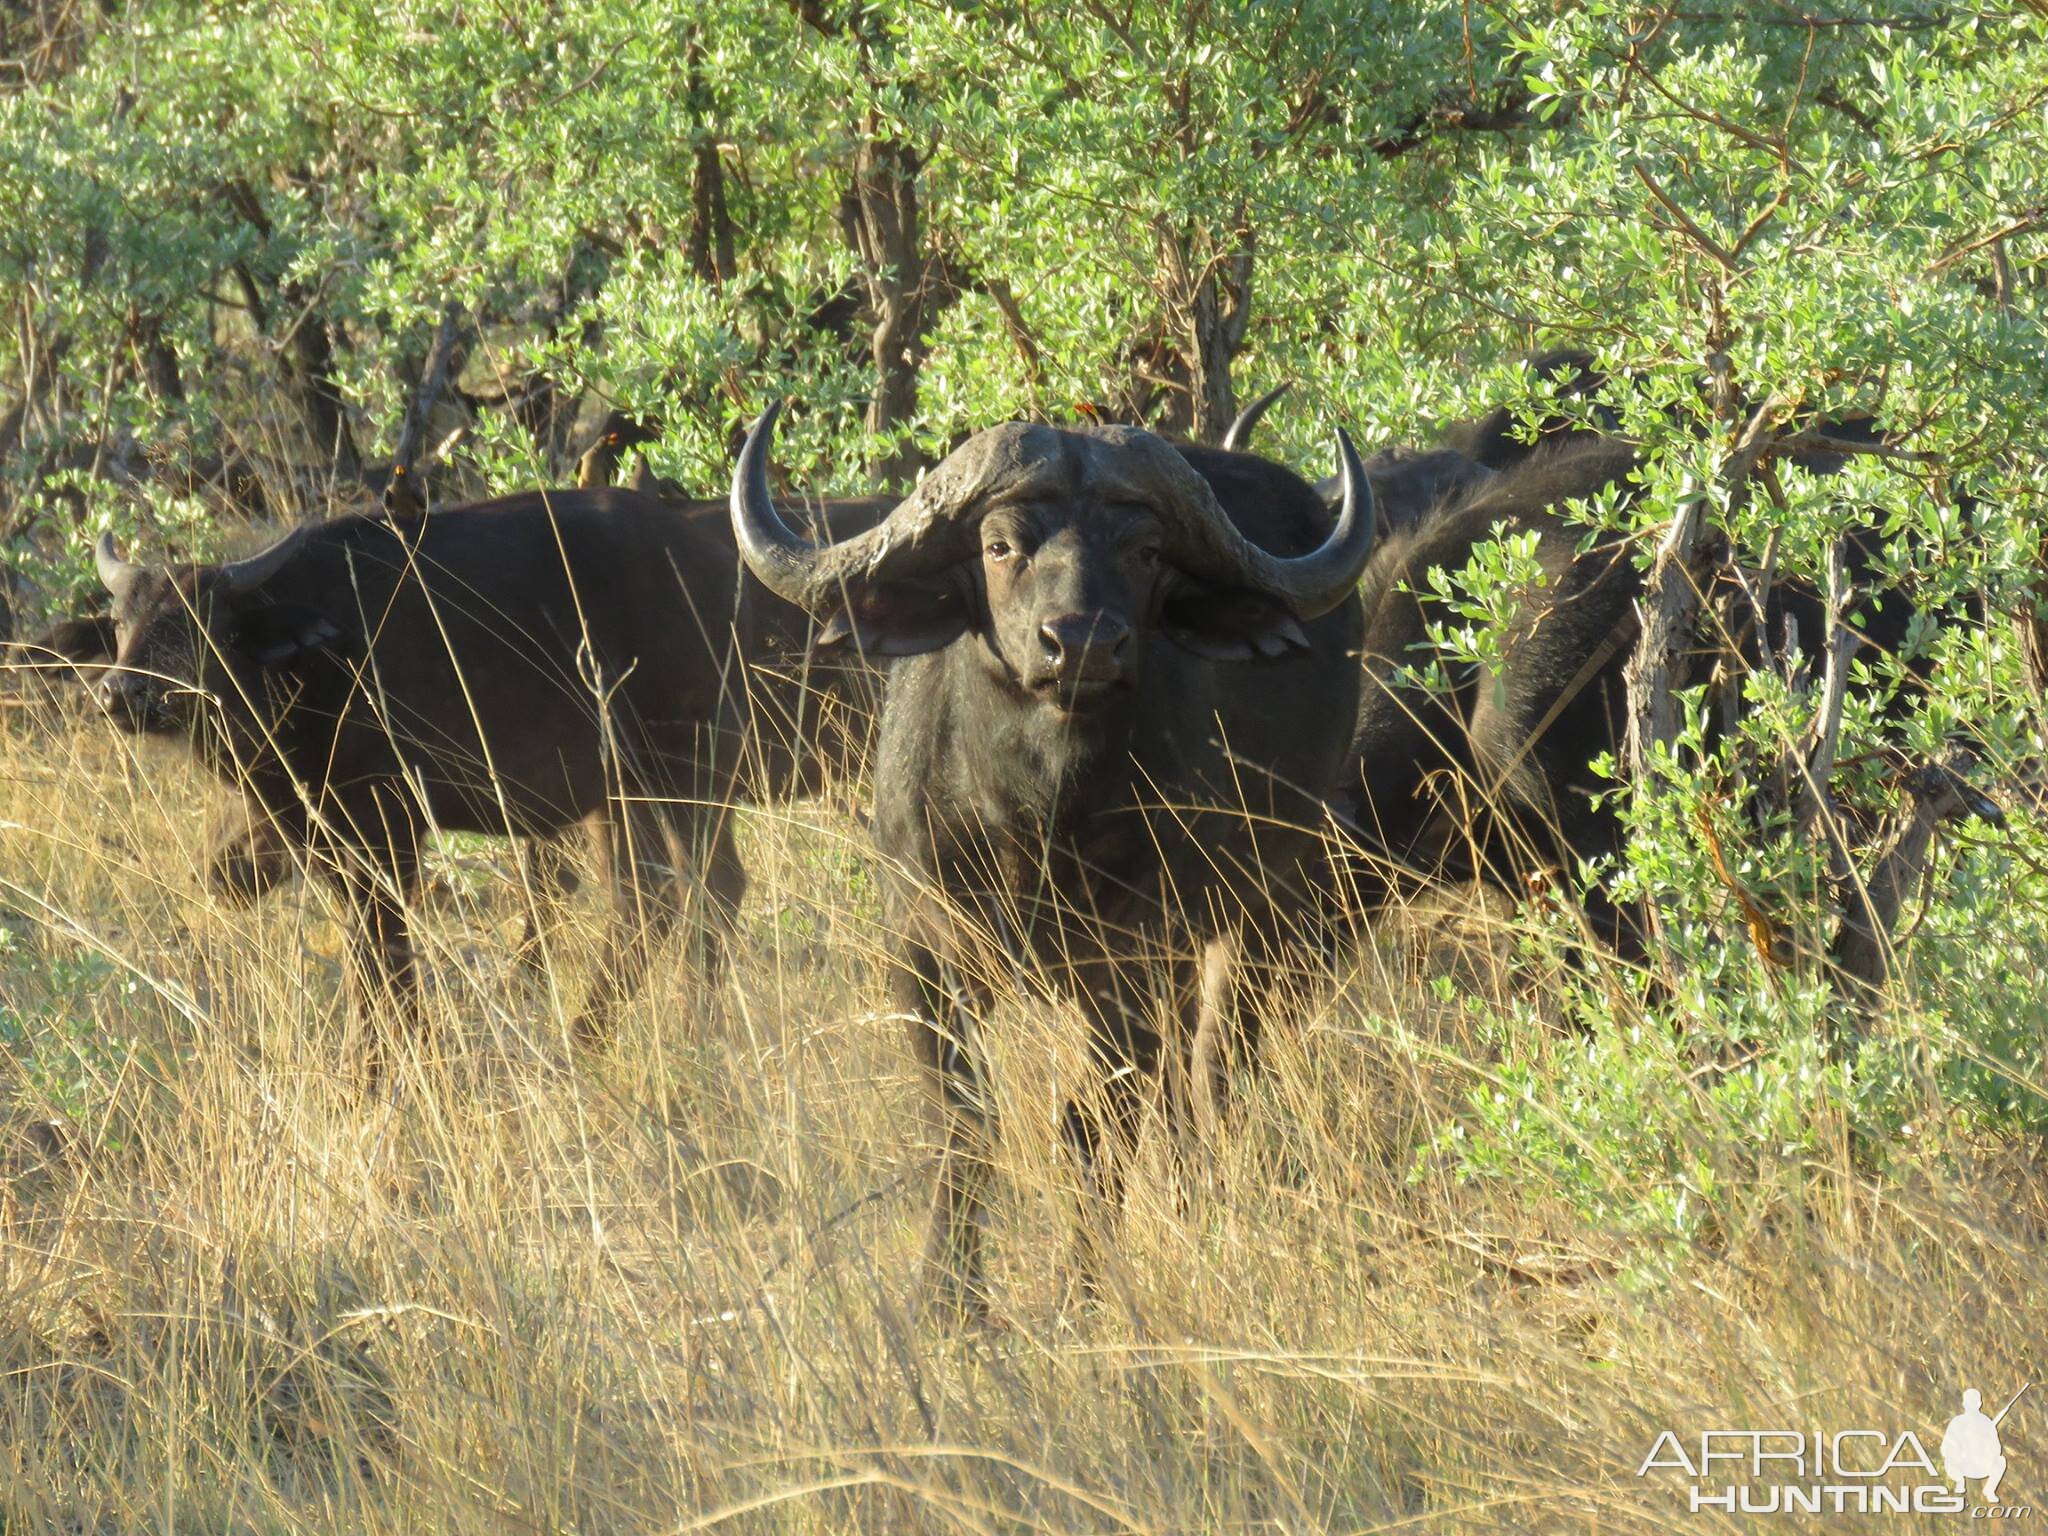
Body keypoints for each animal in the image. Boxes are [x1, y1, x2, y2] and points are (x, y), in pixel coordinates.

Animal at [724, 403, 1376, 1318]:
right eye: (1000, 545)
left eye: (1144, 552)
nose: (1080, 644)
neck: (1034, 816)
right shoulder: (920, 948)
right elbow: (964, 1122)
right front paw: (948, 1302)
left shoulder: (1132, 960)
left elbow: (1092, 1129)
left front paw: (1082, 1293)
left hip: (1260, 914)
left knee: (1211, 1070)